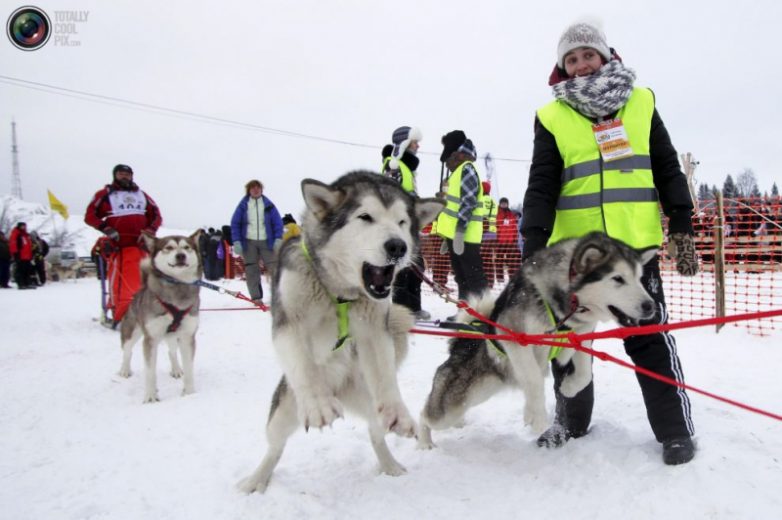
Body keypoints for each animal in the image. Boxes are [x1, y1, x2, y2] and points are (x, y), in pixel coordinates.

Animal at [117, 230, 204, 404]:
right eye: (168, 247)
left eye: (187, 247)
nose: (181, 255)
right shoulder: (150, 339)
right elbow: (150, 372)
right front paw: (150, 396)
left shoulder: (187, 337)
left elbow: (189, 368)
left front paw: (190, 393)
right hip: (131, 332)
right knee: (127, 351)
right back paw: (124, 370)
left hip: (173, 335)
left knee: (172, 352)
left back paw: (176, 369)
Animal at [237, 172, 448, 496]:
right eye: (365, 217)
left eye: (402, 221)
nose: (398, 246)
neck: (338, 294)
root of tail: (339, 389)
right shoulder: (289, 323)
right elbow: (303, 364)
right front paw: (318, 403)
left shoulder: (375, 330)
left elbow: (386, 375)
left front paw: (398, 411)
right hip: (284, 409)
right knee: (275, 447)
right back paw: (256, 480)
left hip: (369, 399)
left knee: (376, 433)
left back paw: (390, 465)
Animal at [420, 234, 660, 448]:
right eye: (618, 278)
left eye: (639, 278)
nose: (651, 306)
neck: (564, 304)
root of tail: (461, 343)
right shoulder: (516, 337)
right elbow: (534, 377)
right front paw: (537, 417)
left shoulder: (581, 335)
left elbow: (584, 374)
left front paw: (569, 388)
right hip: (449, 408)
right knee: (425, 415)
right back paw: (424, 443)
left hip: (479, 393)